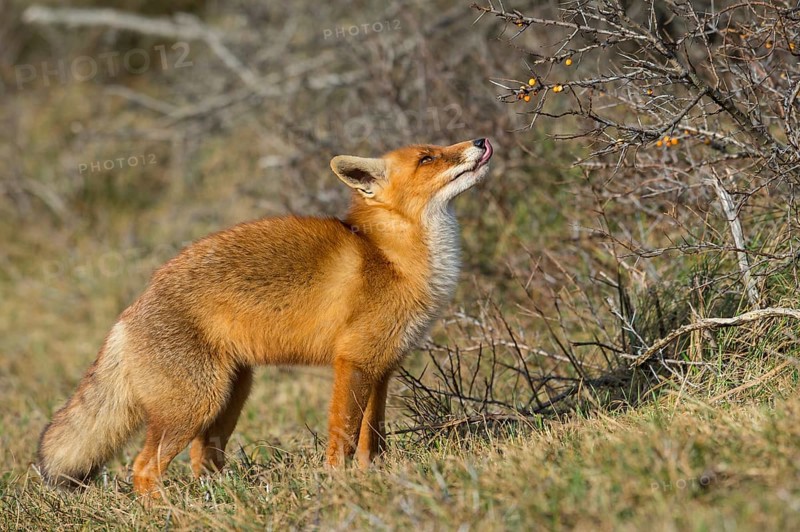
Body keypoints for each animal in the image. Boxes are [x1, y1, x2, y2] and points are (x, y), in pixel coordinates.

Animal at [37, 137, 494, 495]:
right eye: (428, 158)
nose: (481, 140)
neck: (394, 257)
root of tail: (132, 308)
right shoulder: (353, 362)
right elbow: (343, 437)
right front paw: (340, 483)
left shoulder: (382, 367)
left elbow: (372, 440)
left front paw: (373, 479)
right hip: (196, 404)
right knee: (144, 468)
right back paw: (170, 512)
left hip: (229, 398)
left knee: (203, 459)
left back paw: (217, 501)